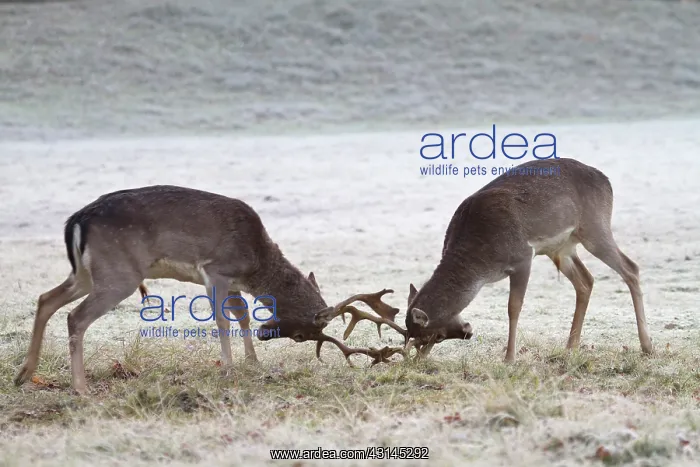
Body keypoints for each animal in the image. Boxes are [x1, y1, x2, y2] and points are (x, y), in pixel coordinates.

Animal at [13, 185, 405, 395]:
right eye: (302, 334)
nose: (267, 335)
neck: (255, 260)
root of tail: (76, 220)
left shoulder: (231, 281)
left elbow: (242, 315)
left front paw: (252, 361)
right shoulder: (216, 269)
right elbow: (221, 320)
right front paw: (228, 369)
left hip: (85, 273)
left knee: (46, 299)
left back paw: (23, 374)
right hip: (118, 272)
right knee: (75, 317)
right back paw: (80, 387)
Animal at [394, 157, 653, 362]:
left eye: (436, 336)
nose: (417, 360)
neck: (481, 264)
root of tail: (606, 180)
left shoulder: (522, 257)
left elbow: (514, 307)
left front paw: (509, 358)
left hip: (595, 226)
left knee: (631, 267)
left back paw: (647, 346)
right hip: (561, 248)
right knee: (586, 281)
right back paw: (570, 347)